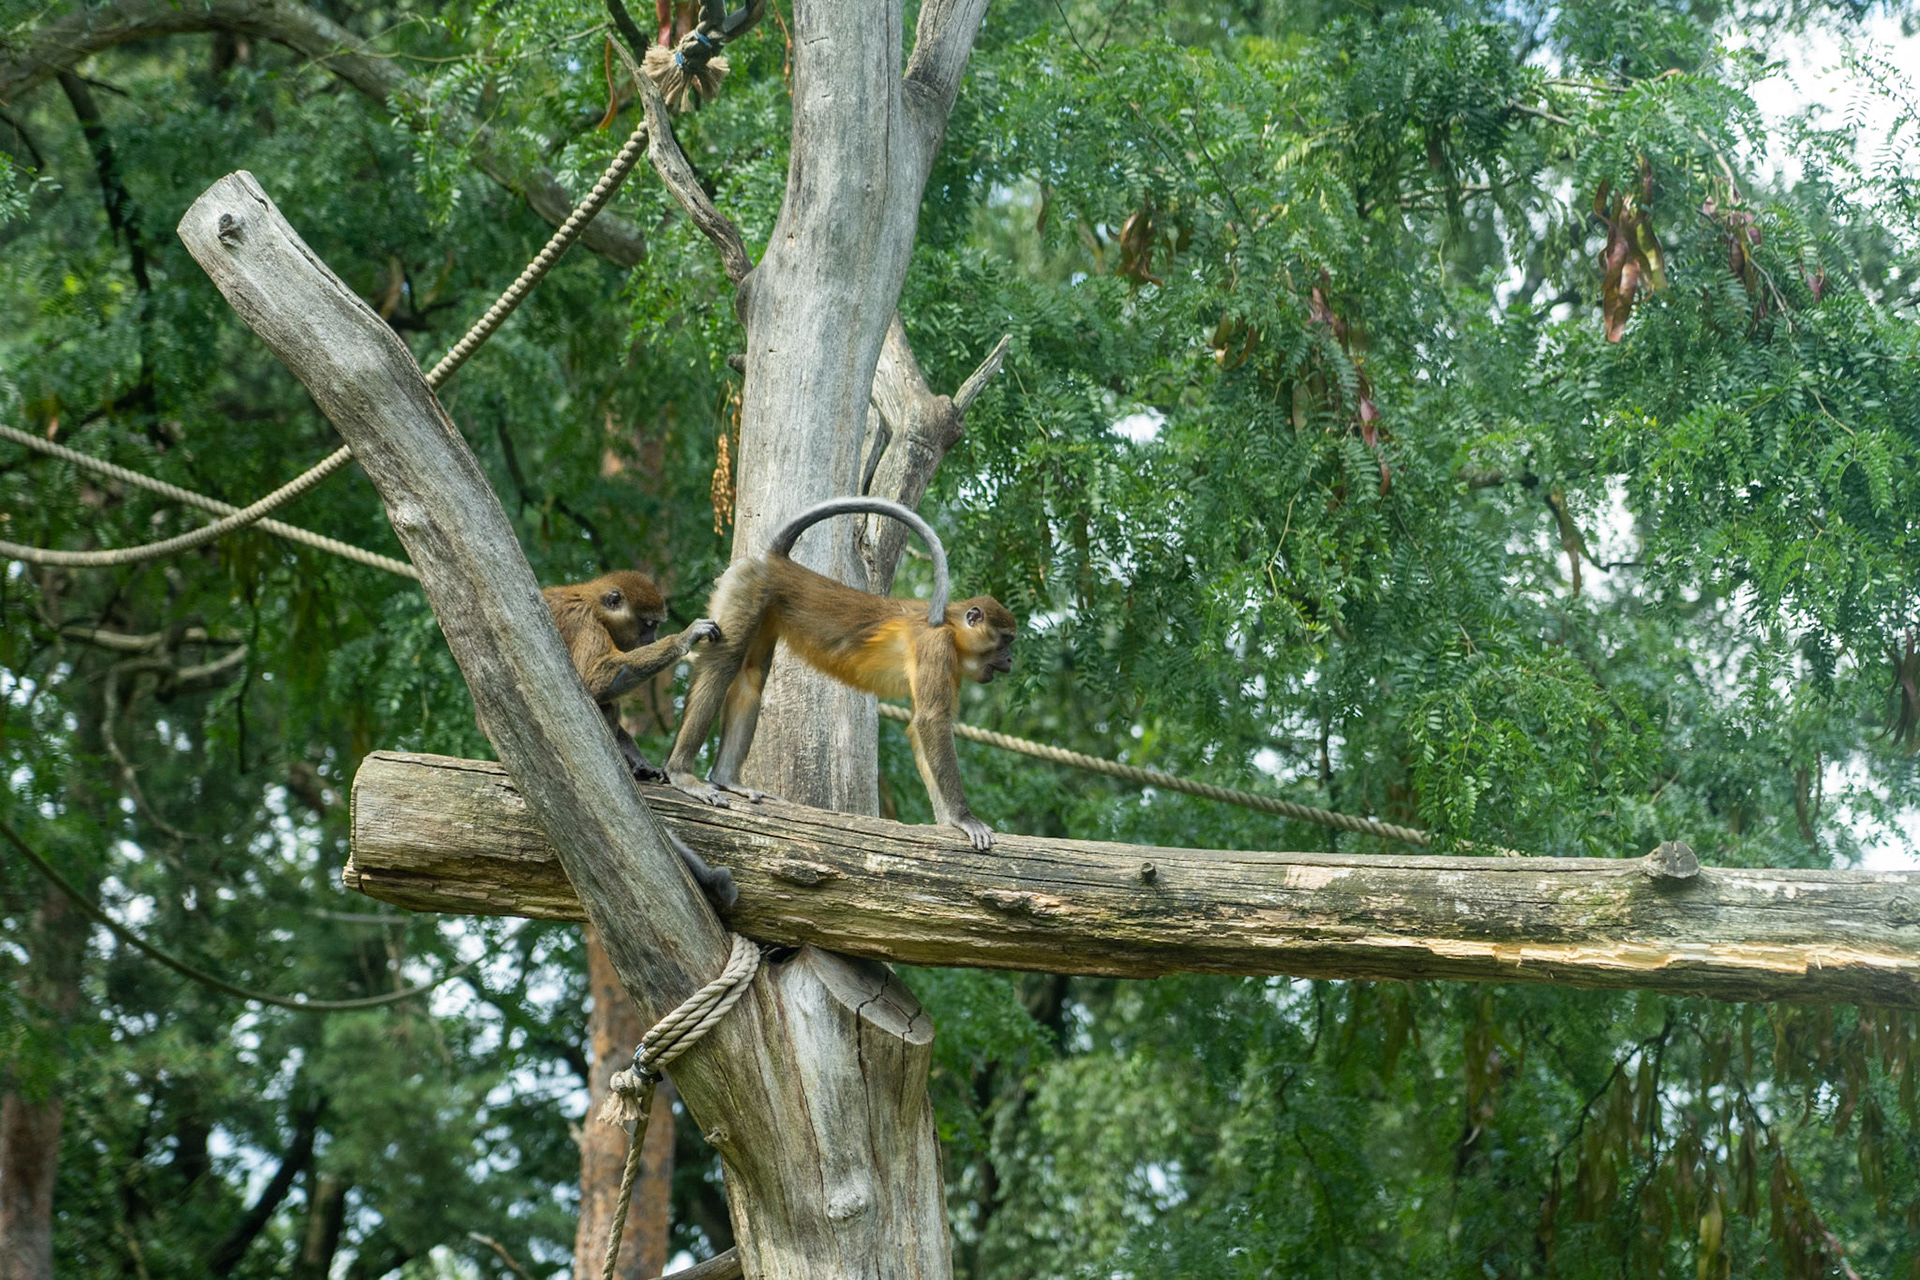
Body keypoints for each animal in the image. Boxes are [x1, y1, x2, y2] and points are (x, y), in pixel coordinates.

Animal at [665, 497, 1016, 850]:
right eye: (1006, 641)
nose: (1011, 660)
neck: (951, 626)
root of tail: (775, 561)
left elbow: (921, 727)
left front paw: (946, 823)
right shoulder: (938, 645)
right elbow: (931, 720)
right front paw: (963, 818)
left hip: (764, 603)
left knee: (751, 674)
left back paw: (726, 779)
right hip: (747, 587)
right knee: (724, 661)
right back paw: (681, 772)